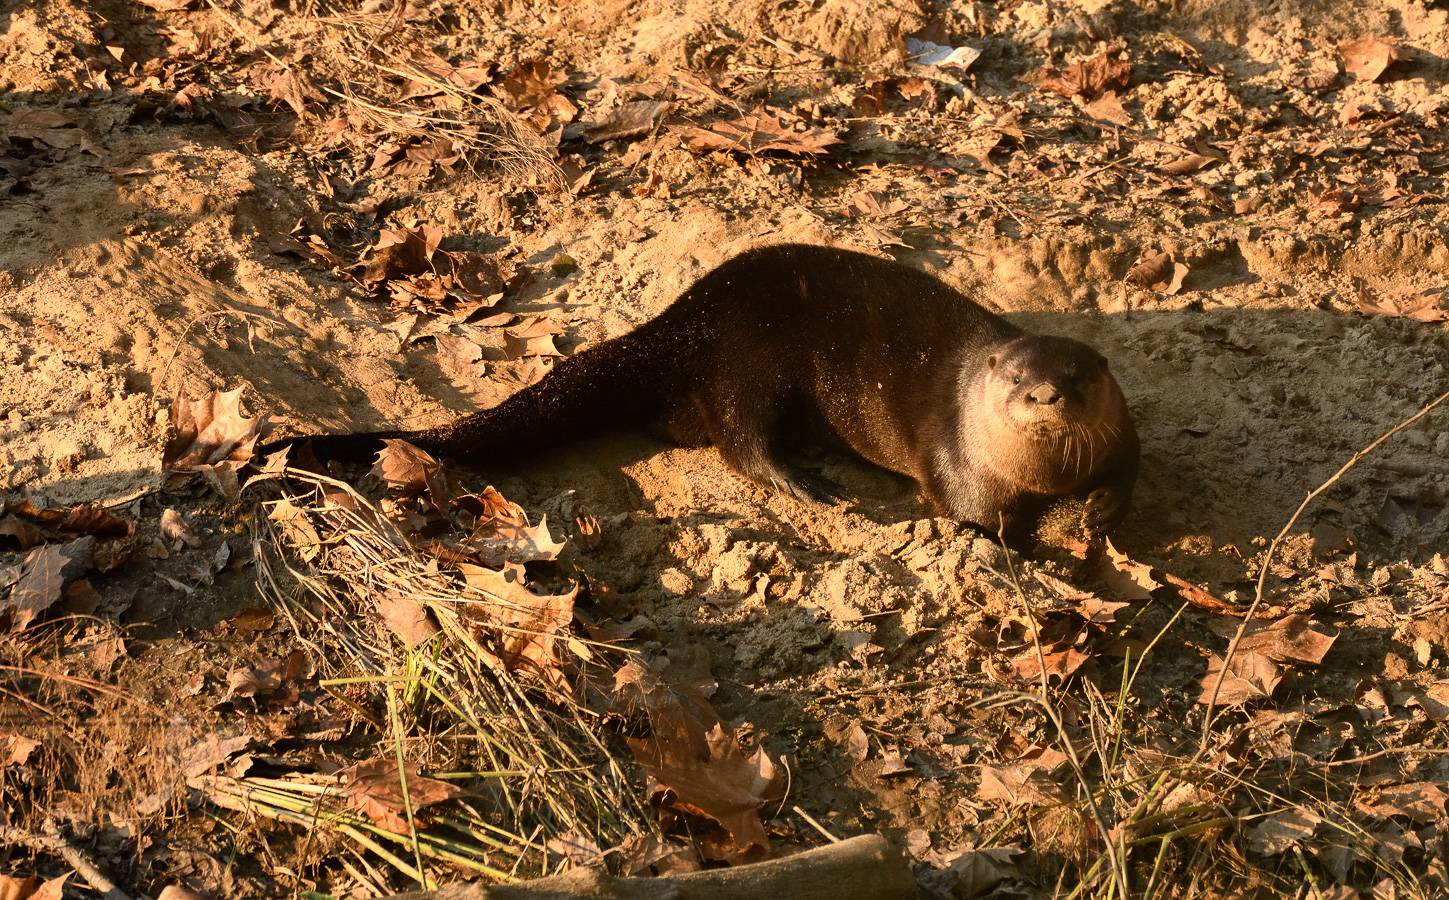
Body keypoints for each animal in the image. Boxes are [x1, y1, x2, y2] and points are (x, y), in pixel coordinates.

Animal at [266, 242, 1136, 544]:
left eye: (1078, 377)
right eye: (1016, 379)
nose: (1046, 396)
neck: (1037, 476)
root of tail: (680, 320)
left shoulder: (1123, 441)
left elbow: (1124, 480)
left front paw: (1096, 515)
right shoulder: (959, 467)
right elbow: (975, 522)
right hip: (746, 363)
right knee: (740, 438)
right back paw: (803, 481)